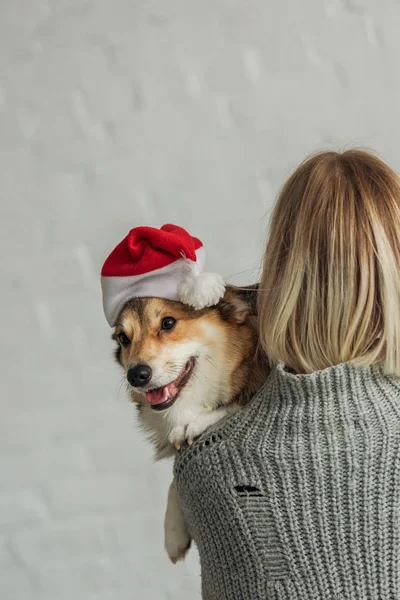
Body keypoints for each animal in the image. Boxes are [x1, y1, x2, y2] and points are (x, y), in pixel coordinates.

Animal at [111, 284, 268, 564]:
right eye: (123, 338)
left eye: (168, 323)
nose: (136, 376)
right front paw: (172, 530)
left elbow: (236, 405)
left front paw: (196, 422)